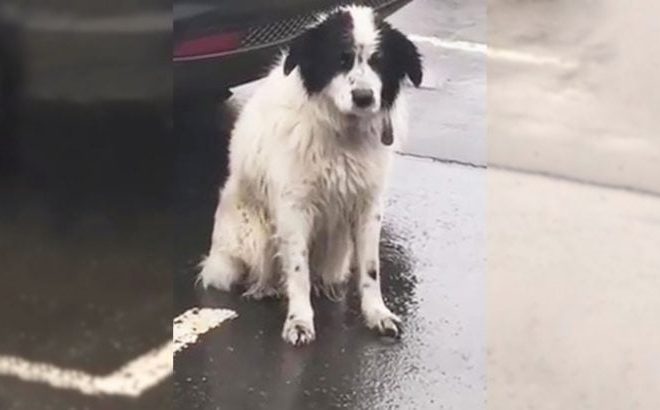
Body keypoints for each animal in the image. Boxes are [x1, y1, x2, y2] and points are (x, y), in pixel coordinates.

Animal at [197, 5, 422, 346]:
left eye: (379, 61)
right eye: (341, 59)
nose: (364, 97)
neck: (343, 133)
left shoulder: (369, 206)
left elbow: (371, 269)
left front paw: (377, 314)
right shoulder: (294, 208)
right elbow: (297, 270)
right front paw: (300, 321)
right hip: (251, 237)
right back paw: (264, 287)